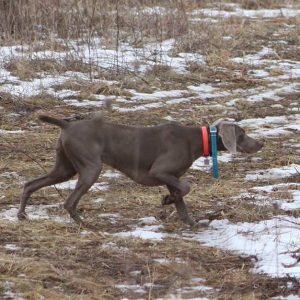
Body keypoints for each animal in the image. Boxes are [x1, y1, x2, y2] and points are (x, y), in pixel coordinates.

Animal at [18, 115, 262, 225]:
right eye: (242, 134)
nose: (261, 144)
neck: (195, 139)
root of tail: (67, 124)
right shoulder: (160, 172)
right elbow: (186, 187)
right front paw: (166, 201)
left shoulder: (170, 177)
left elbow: (181, 200)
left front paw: (189, 221)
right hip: (91, 168)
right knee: (69, 202)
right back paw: (84, 224)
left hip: (65, 168)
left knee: (30, 184)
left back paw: (22, 214)